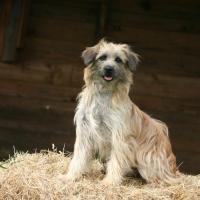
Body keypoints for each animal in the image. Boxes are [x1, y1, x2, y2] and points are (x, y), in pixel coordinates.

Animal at [62, 39, 177, 184]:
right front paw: (71, 176)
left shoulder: (120, 136)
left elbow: (116, 161)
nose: (109, 69)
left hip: (148, 159)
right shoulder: (85, 132)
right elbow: (79, 157)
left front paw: (110, 182)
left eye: (118, 60)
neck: (104, 93)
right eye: (102, 57)